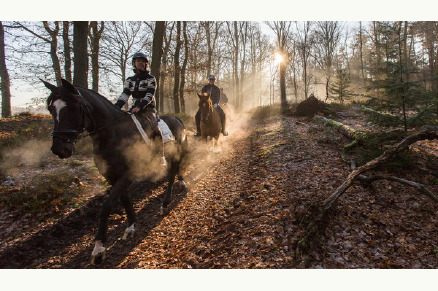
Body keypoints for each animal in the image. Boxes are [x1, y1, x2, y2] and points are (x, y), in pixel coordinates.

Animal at [43, 79, 187, 264]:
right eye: (51, 109)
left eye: (73, 107)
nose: (59, 148)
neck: (112, 135)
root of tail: (177, 119)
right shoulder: (112, 176)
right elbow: (124, 200)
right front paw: (131, 226)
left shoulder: (129, 174)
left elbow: (106, 206)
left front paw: (98, 248)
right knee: (175, 170)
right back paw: (180, 182)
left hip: (173, 154)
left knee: (171, 175)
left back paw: (165, 203)